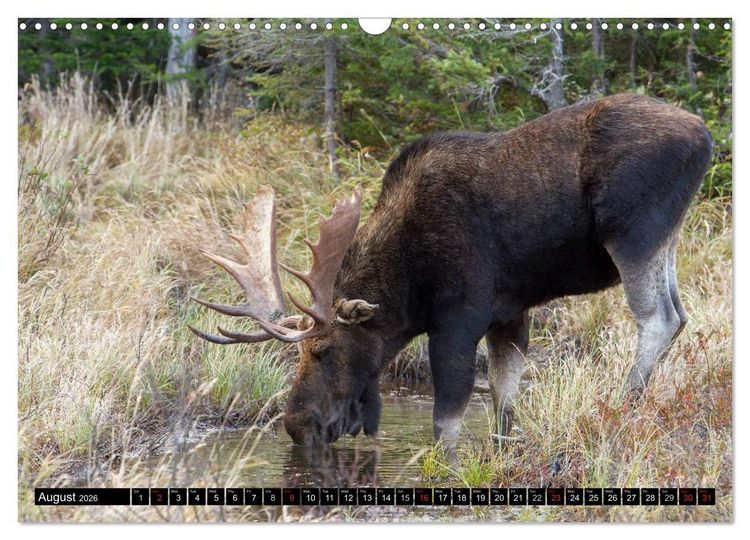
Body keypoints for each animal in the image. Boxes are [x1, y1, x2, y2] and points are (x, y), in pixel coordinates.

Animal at [190, 94, 712, 454]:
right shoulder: (511, 313)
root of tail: (704, 135)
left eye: (322, 350)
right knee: (681, 313)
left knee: (658, 318)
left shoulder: (459, 318)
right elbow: (503, 399)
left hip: (633, 233)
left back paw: (620, 407)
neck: (405, 289)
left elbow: (447, 421)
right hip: (666, 239)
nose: (296, 426)